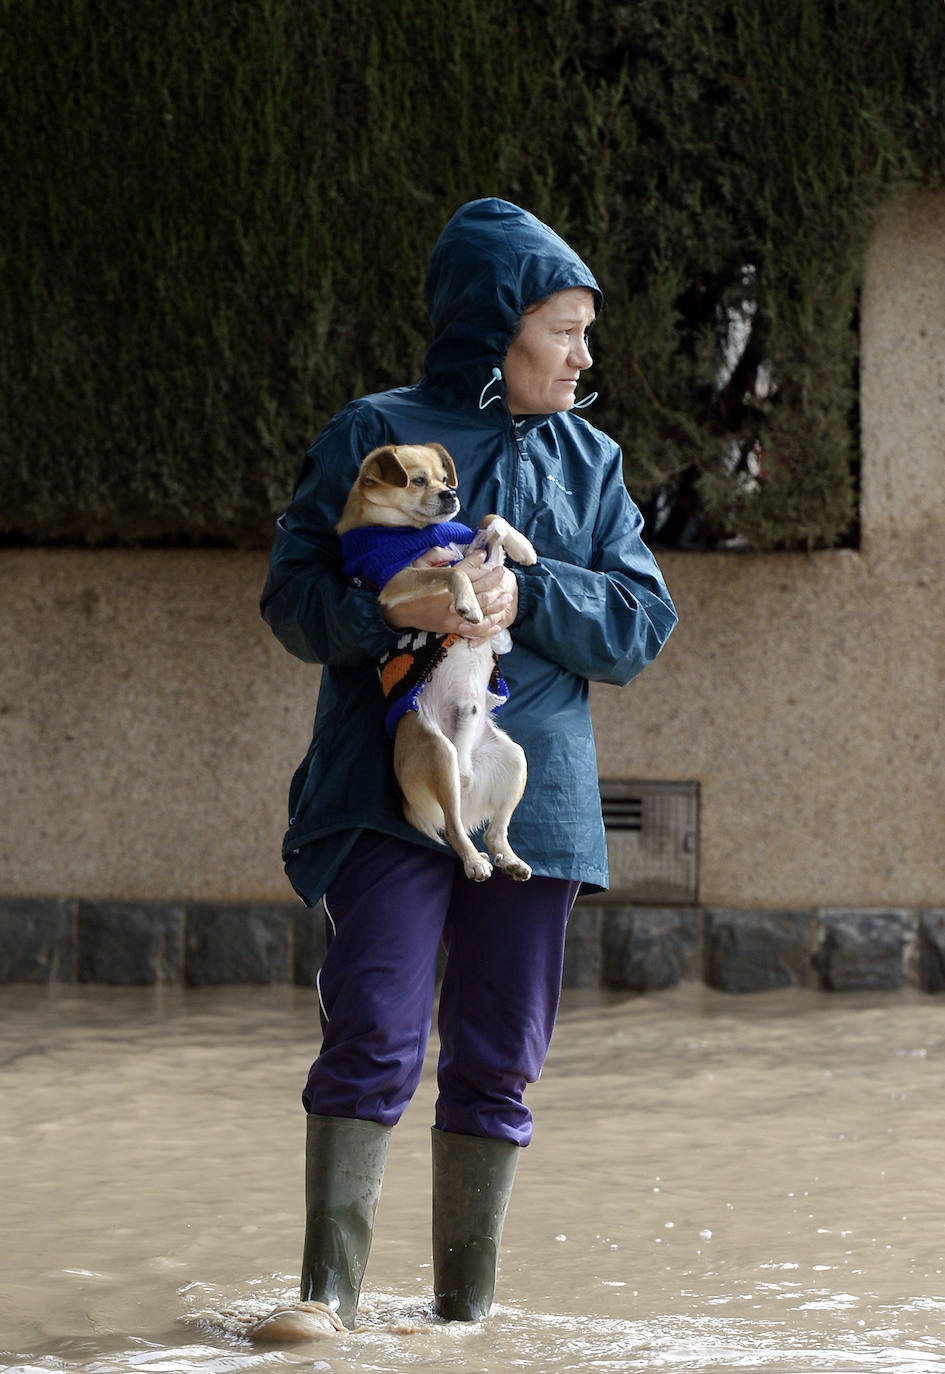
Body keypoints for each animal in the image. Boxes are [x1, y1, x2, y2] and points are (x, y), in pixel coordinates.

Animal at [336, 445, 535, 884]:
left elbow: (490, 519)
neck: (410, 532)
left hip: (515, 759)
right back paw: (475, 862)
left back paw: (510, 859)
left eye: (446, 479)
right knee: (456, 828)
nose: (451, 495)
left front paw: (523, 547)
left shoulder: (473, 544)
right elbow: (451, 575)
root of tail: (466, 774)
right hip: (439, 755)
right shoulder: (398, 581)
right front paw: (469, 603)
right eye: (417, 481)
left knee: (493, 830)